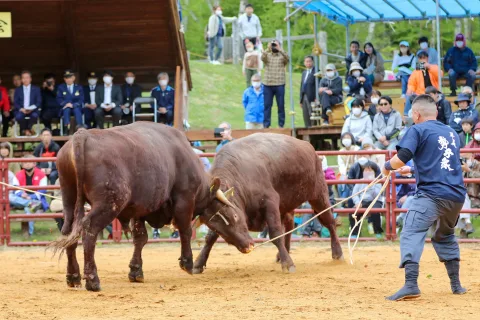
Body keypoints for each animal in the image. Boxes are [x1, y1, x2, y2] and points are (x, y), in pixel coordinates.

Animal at [51, 123, 233, 292]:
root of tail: (83, 135)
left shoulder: (139, 210)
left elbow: (140, 238)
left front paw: (136, 271)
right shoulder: (184, 198)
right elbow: (185, 230)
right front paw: (187, 263)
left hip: (70, 200)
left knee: (69, 232)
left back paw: (73, 276)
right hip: (108, 204)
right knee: (89, 230)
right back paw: (92, 279)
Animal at [193, 132, 344, 272]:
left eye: (235, 216)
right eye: (215, 227)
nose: (247, 247)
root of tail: (309, 147)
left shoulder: (270, 202)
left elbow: (276, 234)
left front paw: (288, 264)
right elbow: (210, 238)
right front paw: (199, 262)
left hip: (318, 194)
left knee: (329, 222)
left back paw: (337, 252)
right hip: (286, 204)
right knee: (289, 226)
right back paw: (282, 253)